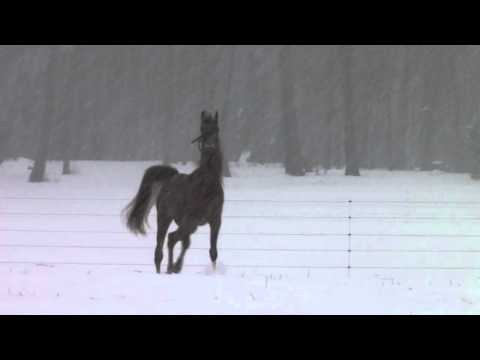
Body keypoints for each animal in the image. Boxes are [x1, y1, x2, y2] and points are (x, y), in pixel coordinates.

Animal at [122, 111, 223, 274]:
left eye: (217, 129)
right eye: (202, 129)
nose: (209, 146)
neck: (207, 185)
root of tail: (170, 178)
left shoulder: (215, 220)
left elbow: (212, 252)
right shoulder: (190, 220)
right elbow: (176, 240)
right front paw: (174, 267)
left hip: (186, 223)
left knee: (178, 241)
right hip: (165, 219)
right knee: (163, 247)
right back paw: (167, 269)